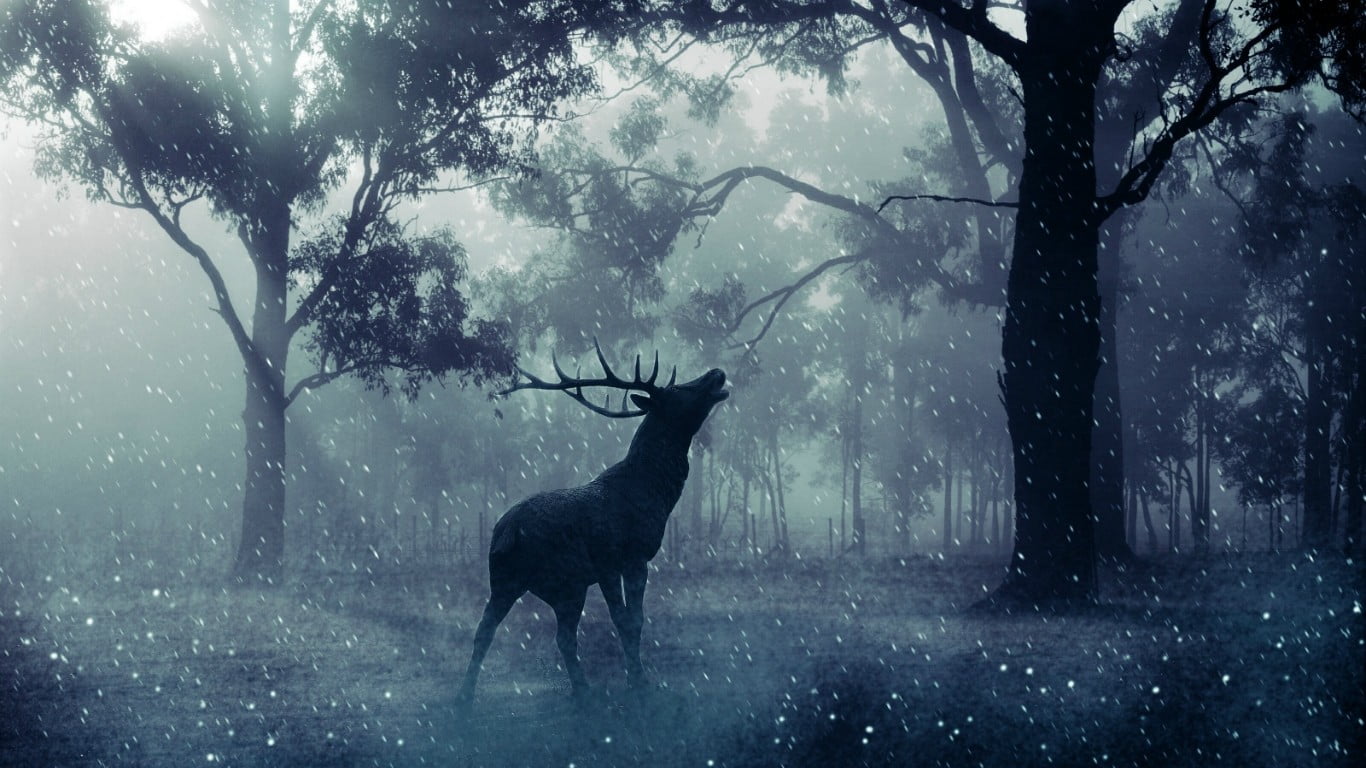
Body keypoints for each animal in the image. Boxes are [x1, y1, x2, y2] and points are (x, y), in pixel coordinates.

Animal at [457, 340, 728, 706]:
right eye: (676, 389)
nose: (717, 372)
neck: (654, 494)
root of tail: (507, 532)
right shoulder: (622, 557)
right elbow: (630, 621)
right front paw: (639, 682)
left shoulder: (615, 566)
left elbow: (632, 620)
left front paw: (636, 679)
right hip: (564, 578)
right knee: (557, 635)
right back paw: (581, 691)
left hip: (514, 580)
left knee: (497, 630)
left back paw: (469, 695)